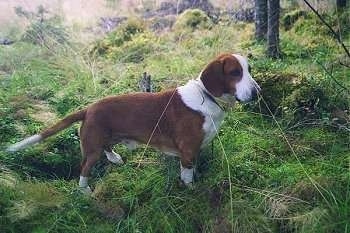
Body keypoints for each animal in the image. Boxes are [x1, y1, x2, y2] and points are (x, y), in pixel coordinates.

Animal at [6, 52, 260, 193]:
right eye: (234, 72)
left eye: (248, 70)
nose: (257, 92)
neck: (206, 96)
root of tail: (89, 109)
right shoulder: (188, 151)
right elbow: (187, 175)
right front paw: (191, 189)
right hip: (91, 150)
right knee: (84, 169)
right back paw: (85, 190)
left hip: (105, 139)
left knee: (108, 148)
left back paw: (115, 158)